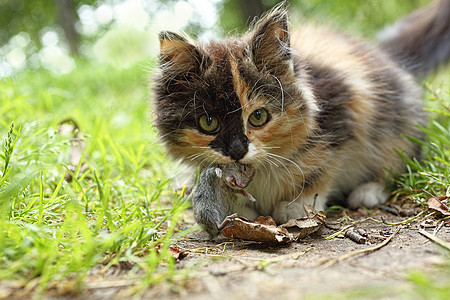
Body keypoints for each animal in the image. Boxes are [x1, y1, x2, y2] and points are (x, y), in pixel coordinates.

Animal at [152, 1, 450, 229]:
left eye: (258, 117)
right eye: (209, 123)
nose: (236, 151)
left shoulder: (343, 114)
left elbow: (320, 167)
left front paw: (298, 205)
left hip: (399, 122)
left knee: (398, 162)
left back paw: (368, 191)